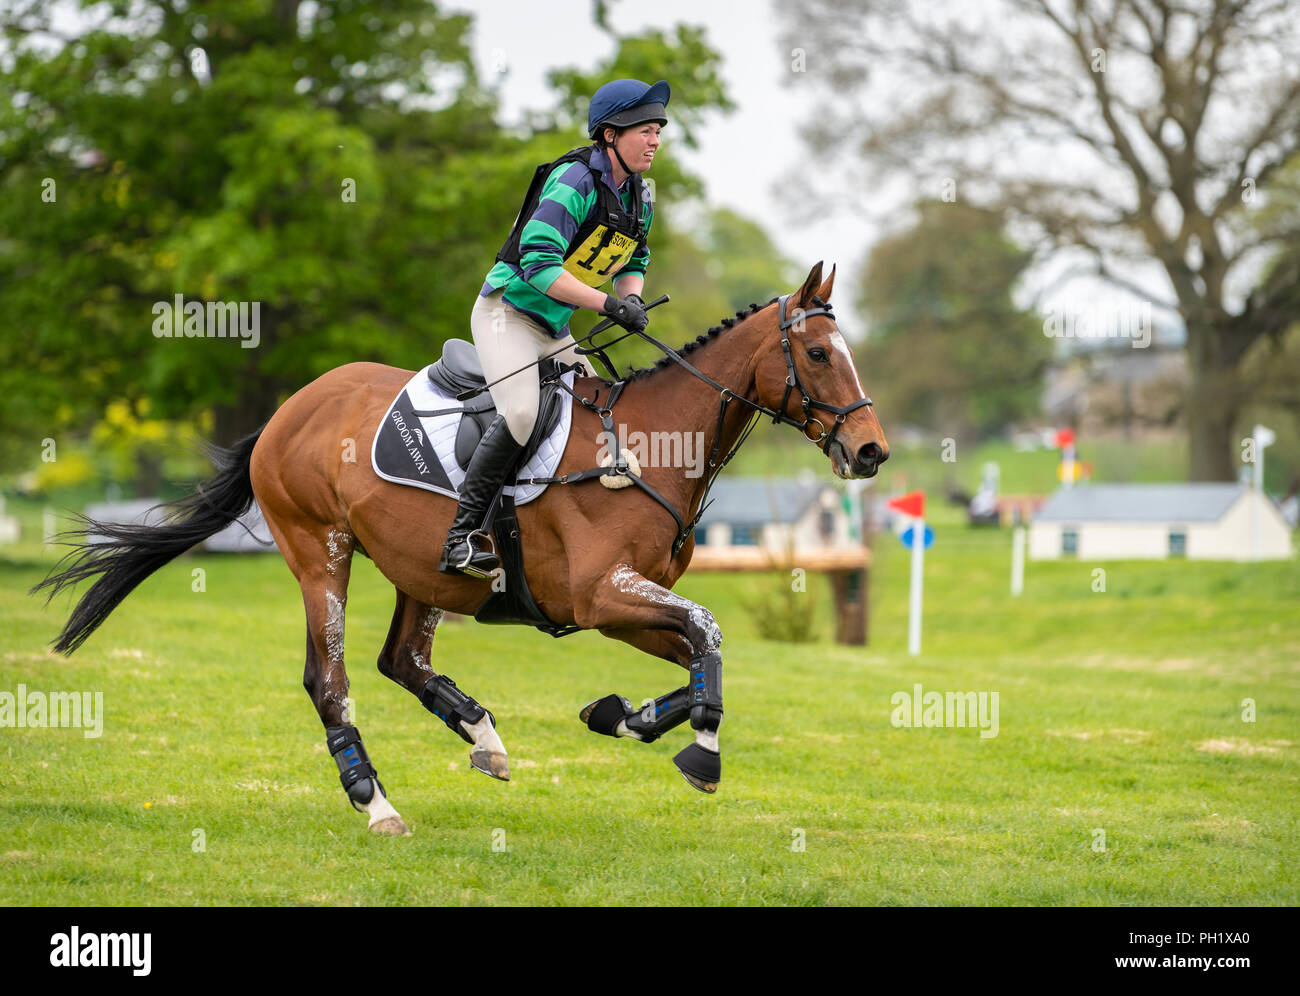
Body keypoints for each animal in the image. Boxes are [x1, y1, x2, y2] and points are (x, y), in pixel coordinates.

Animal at [43, 262, 894, 832]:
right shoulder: (600, 594)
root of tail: (292, 407)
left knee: (401, 660)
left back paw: (484, 738)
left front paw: (620, 715)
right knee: (330, 679)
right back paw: (376, 803)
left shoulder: (623, 606)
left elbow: (699, 653)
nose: (872, 452)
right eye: (819, 355)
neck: (651, 444)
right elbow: (709, 634)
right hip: (322, 551)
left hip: (424, 572)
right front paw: (702, 755)